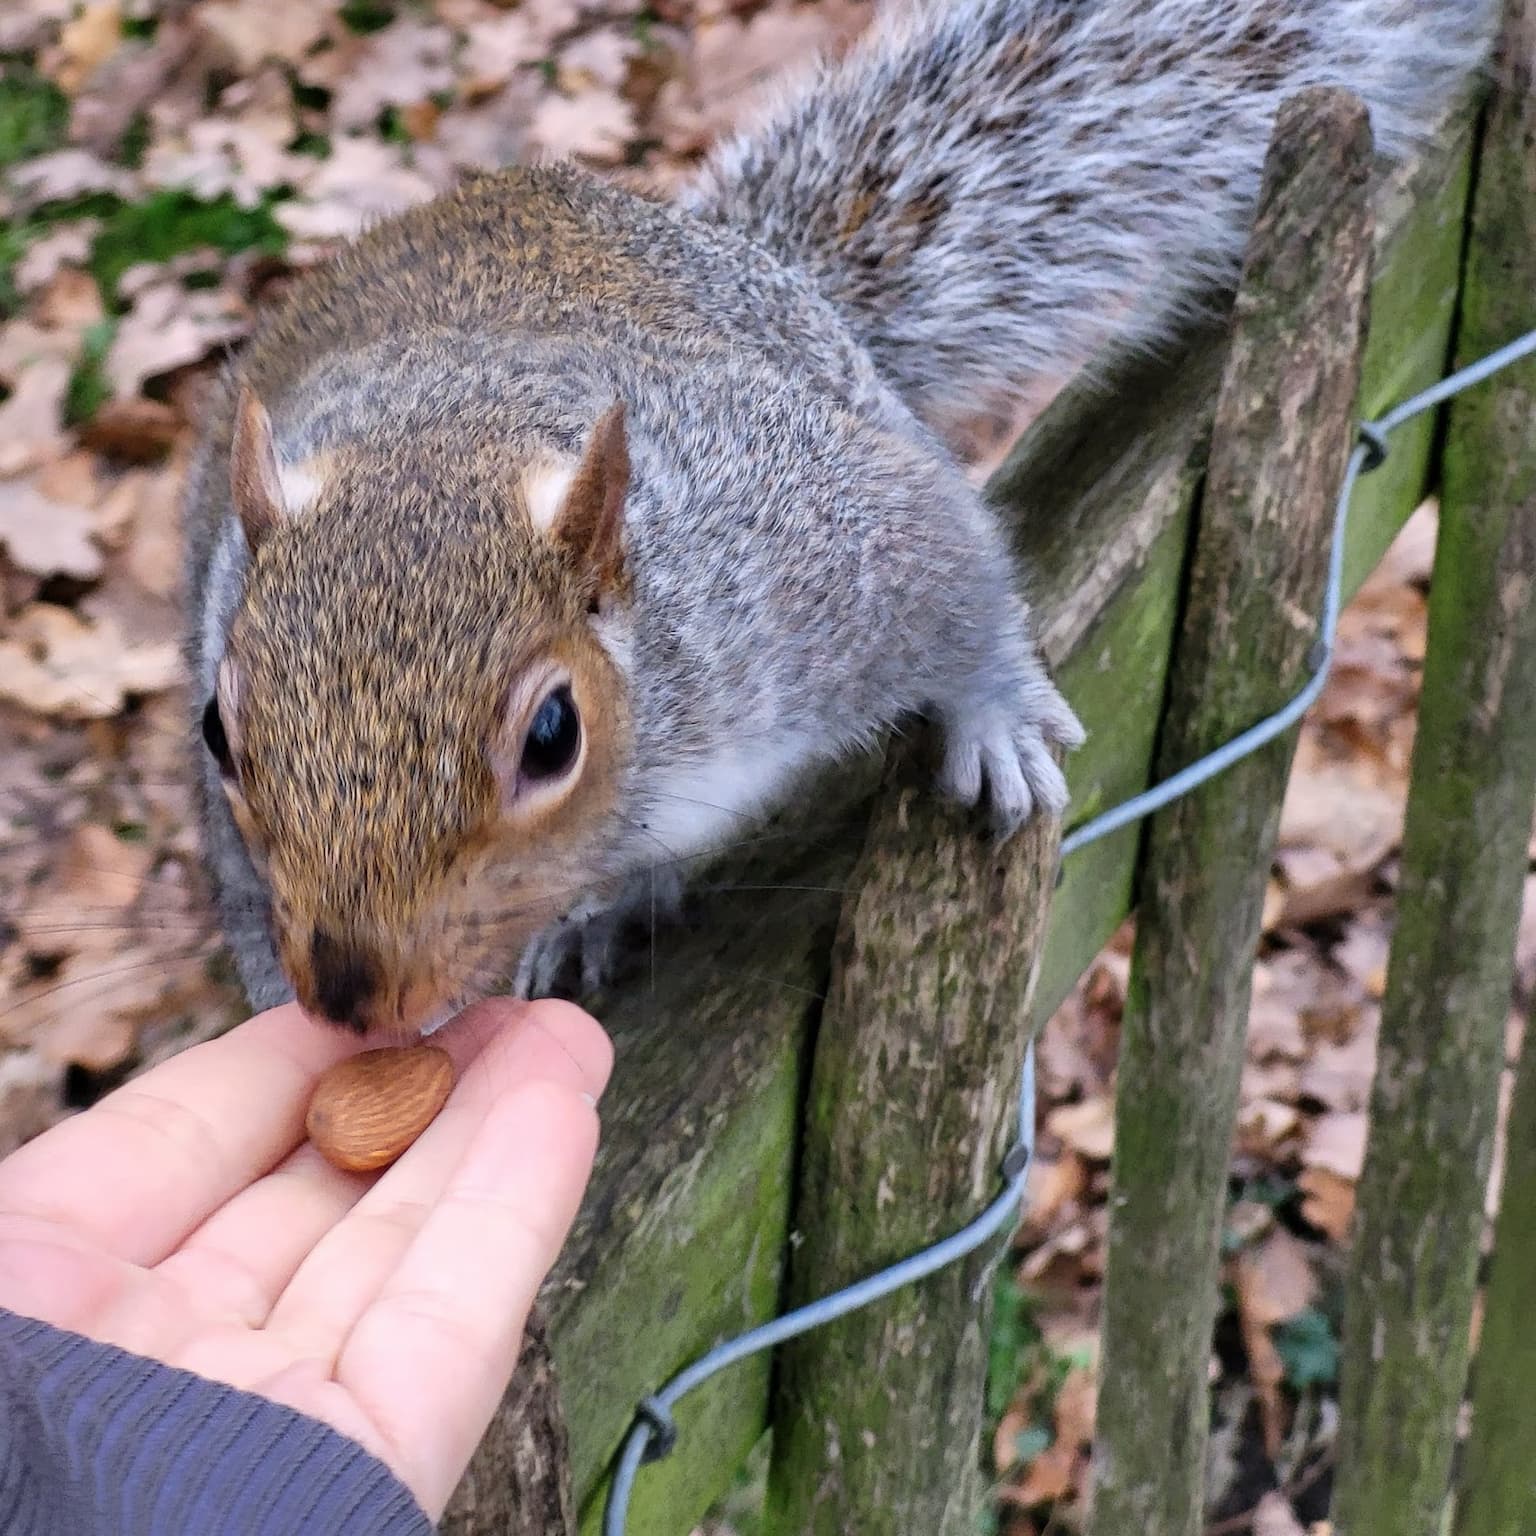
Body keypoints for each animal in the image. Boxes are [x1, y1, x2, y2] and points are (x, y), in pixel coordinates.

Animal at [184, 0, 1494, 1037]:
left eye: (552, 736)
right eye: (215, 733)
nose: (350, 998)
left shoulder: (815, 550)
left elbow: (955, 568)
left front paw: (995, 718)